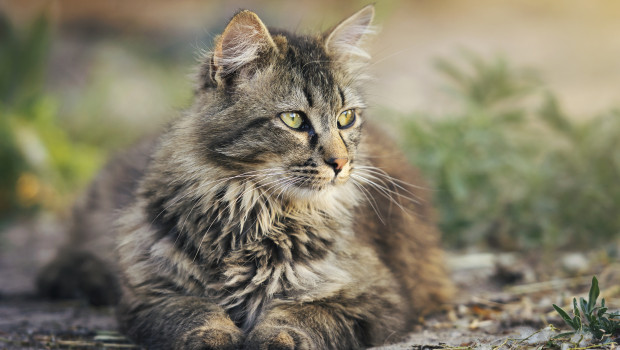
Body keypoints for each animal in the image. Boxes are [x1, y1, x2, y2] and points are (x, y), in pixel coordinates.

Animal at [37, 5, 450, 350]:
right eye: (294, 119)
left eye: (346, 118)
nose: (341, 163)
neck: (251, 209)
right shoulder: (152, 294)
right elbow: (196, 312)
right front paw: (214, 338)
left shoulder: (378, 297)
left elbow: (303, 314)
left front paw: (275, 339)